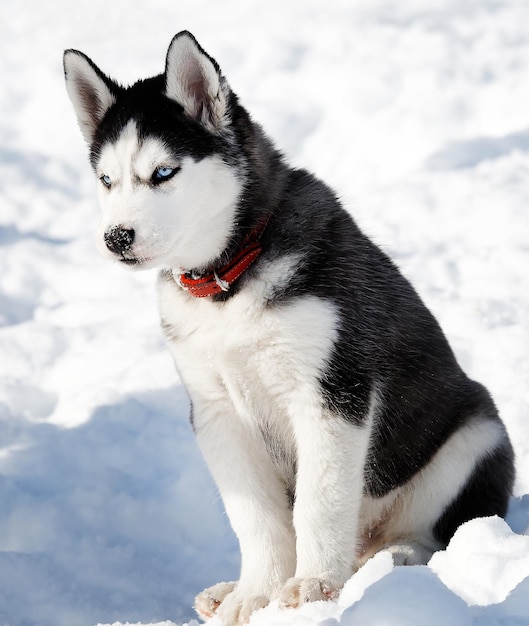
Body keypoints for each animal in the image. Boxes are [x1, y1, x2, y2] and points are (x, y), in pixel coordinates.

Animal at [63, 30, 512, 624]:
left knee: (436, 535)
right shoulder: (216, 411)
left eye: (163, 173)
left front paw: (313, 587)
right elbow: (257, 518)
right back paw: (233, 588)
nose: (116, 237)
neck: (228, 278)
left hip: (474, 439)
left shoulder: (332, 392)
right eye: (106, 180)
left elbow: (320, 503)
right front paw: (255, 593)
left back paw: (391, 557)